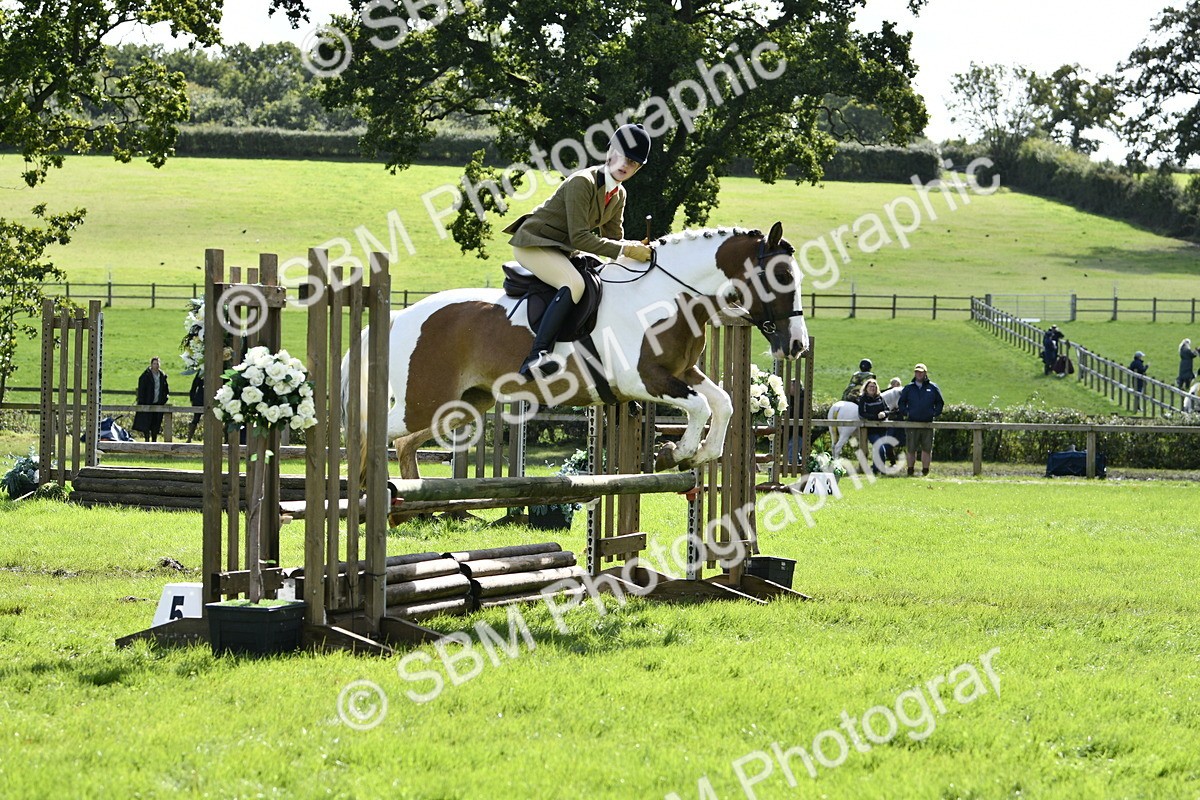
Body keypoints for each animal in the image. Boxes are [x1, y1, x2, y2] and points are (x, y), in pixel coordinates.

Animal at [343, 222, 809, 479]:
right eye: (783, 275)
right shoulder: (643, 380)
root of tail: (399, 317)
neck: (667, 294)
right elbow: (699, 407)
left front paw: (698, 455)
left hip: (461, 404)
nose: (798, 344)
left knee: (403, 442)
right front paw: (675, 453)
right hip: (422, 402)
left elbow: (723, 402)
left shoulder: (681, 372)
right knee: (371, 433)